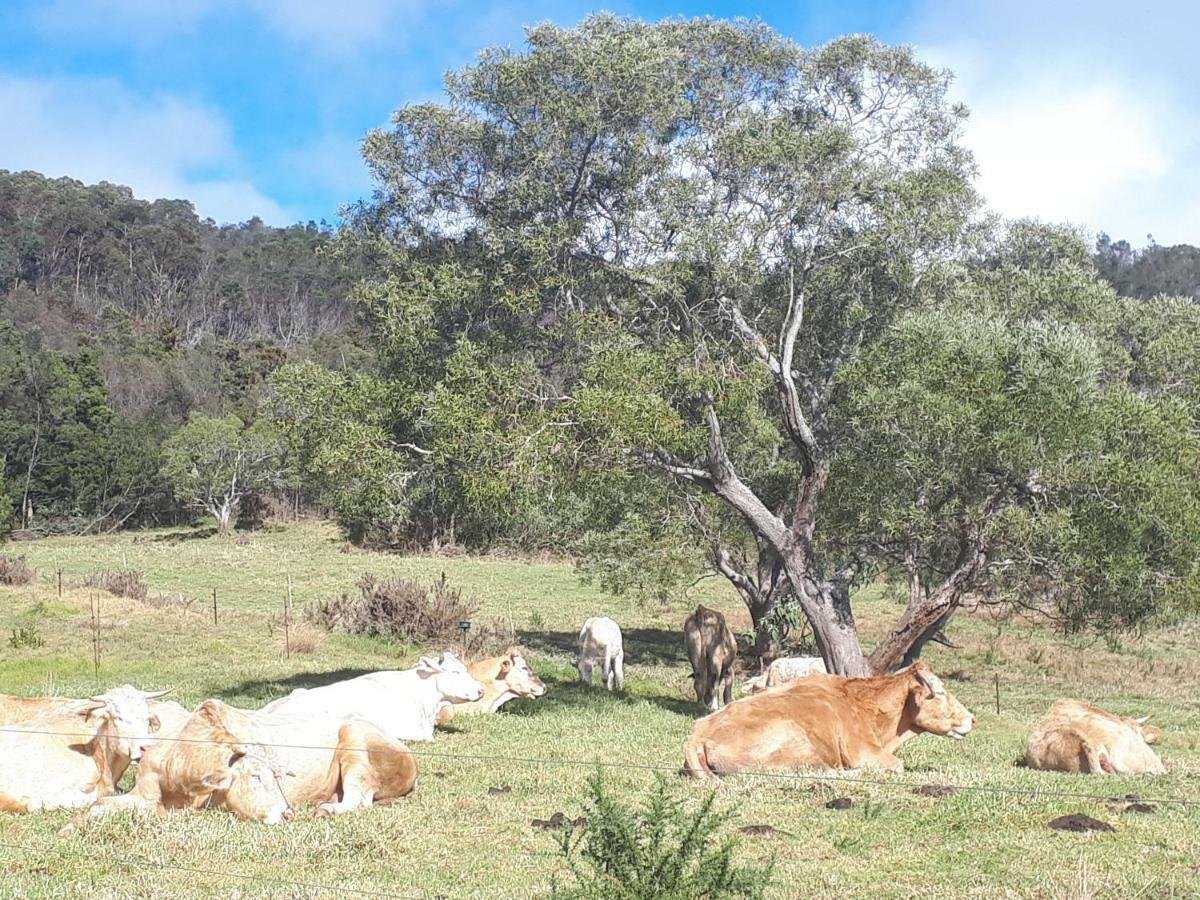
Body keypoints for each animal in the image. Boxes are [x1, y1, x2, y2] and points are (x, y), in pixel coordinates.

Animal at [93, 700, 415, 830]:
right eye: (255, 777)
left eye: (276, 778)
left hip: (355, 740)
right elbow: (98, 806)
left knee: (359, 798)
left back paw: (327, 808)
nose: (287, 814)